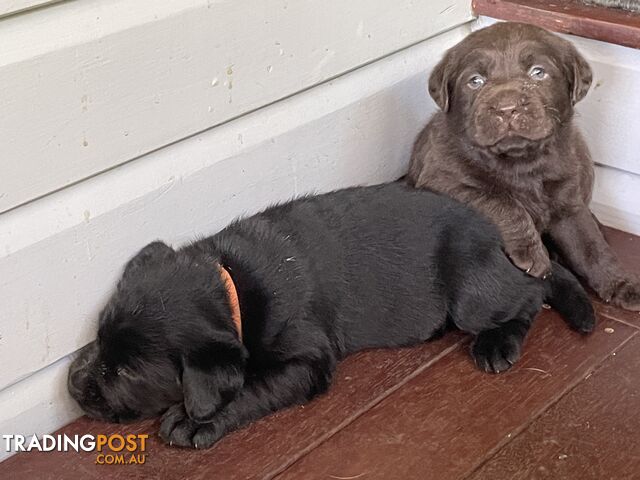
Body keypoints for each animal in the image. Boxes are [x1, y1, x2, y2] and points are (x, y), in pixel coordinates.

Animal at [67, 183, 592, 450]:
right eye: (98, 337)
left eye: (127, 371)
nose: (72, 384)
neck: (231, 282)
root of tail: (496, 236)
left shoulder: (306, 359)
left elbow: (252, 386)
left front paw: (197, 422)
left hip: (471, 293)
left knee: (531, 292)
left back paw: (499, 343)